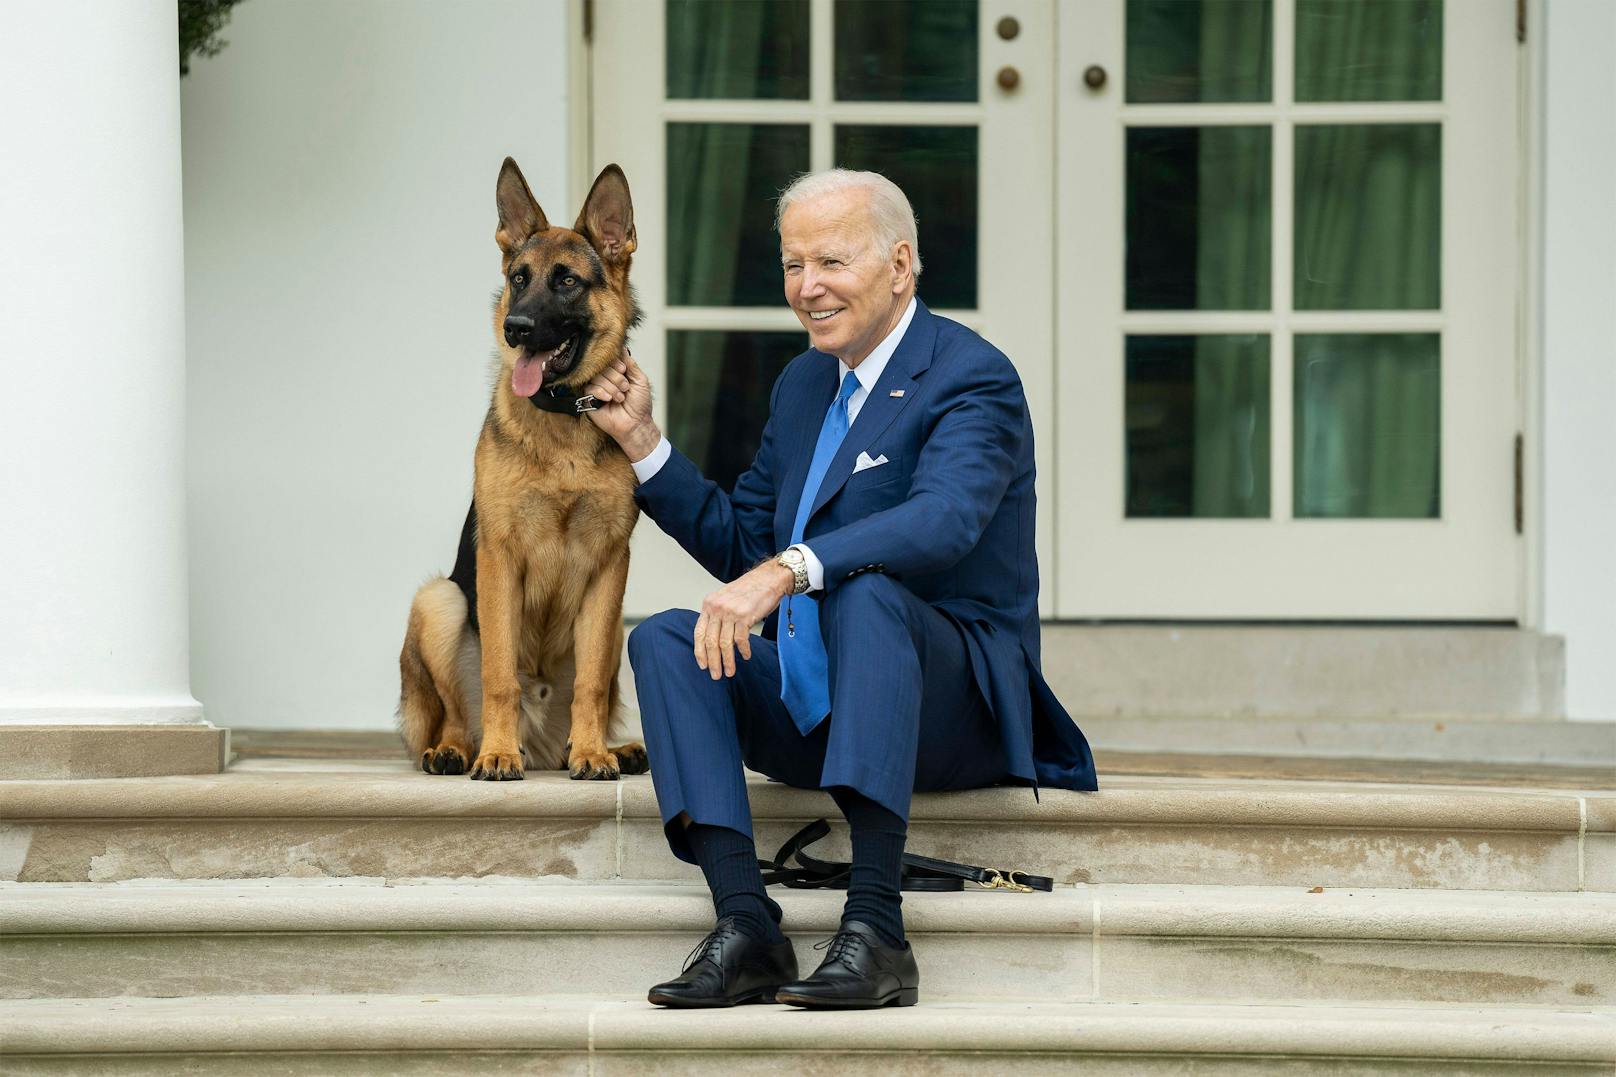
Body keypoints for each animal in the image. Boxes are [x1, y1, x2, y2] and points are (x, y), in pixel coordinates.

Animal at [399, 157, 649, 779]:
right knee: (457, 711)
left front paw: (593, 753)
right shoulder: (499, 559)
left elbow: (590, 684)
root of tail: (541, 745)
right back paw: (459, 750)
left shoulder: (610, 567)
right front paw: (496, 754)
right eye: (518, 278)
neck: (562, 417)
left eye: (566, 281)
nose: (515, 327)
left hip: (618, 630)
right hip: (439, 601)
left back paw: (606, 748)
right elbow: (499, 675)